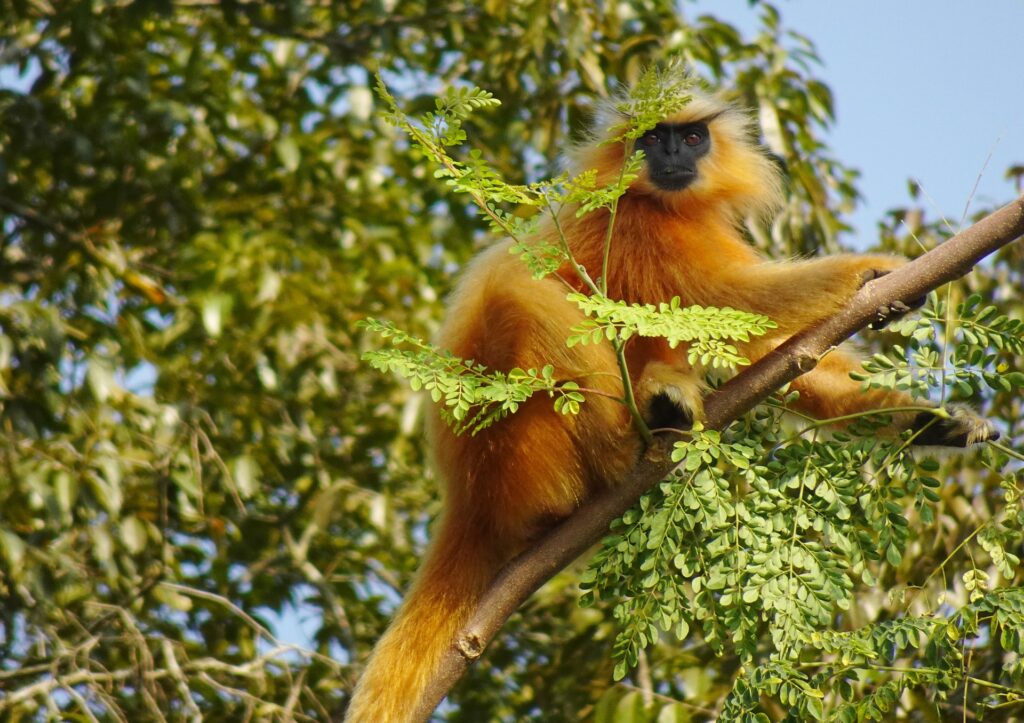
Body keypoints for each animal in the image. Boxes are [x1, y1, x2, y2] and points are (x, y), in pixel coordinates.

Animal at [345, 76, 997, 722]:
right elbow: (724, 296)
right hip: (514, 446)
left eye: (690, 136)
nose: (673, 155)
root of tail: (468, 497)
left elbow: (782, 355)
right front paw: (872, 274)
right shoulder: (637, 224)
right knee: (519, 291)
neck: (660, 202)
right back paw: (630, 443)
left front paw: (928, 422)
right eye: (653, 138)